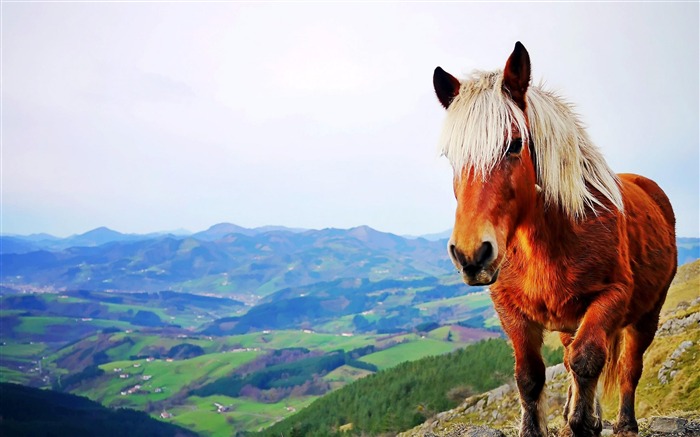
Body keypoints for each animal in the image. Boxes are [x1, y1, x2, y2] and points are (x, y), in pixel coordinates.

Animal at [432, 41, 680, 436]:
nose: (471, 255)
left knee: (627, 366)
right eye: (451, 157)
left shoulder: (611, 298)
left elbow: (588, 361)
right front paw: (558, 422)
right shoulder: (511, 311)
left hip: (647, 314)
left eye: (515, 144)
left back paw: (625, 423)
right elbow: (530, 377)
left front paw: (583, 423)